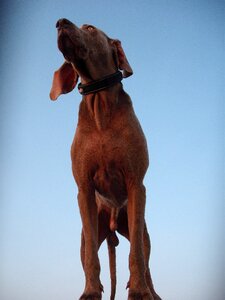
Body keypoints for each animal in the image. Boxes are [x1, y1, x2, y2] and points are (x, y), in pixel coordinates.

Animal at [50, 18, 161, 300]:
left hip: (140, 229)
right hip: (90, 231)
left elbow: (137, 256)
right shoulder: (84, 190)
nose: (60, 22)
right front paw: (90, 291)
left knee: (145, 260)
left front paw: (140, 291)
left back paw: (151, 291)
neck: (100, 108)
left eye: (89, 28)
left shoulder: (136, 184)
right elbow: (92, 256)